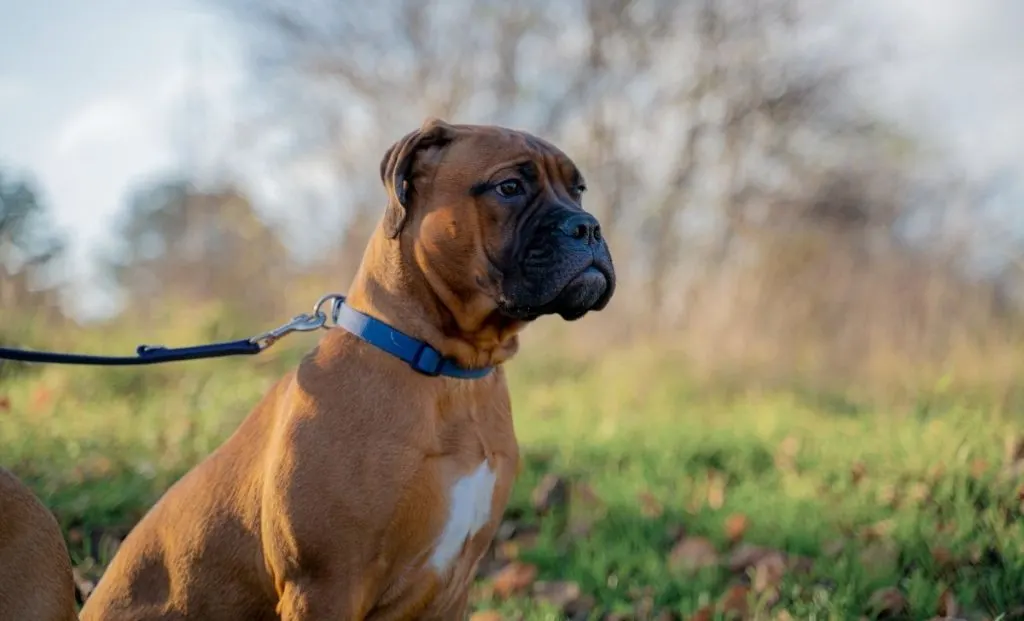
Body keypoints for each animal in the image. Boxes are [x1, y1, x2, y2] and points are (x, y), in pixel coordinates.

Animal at [79, 119, 614, 618]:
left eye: (578, 189)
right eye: (510, 186)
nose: (587, 226)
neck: (448, 371)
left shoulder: (451, 589)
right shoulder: (325, 585)